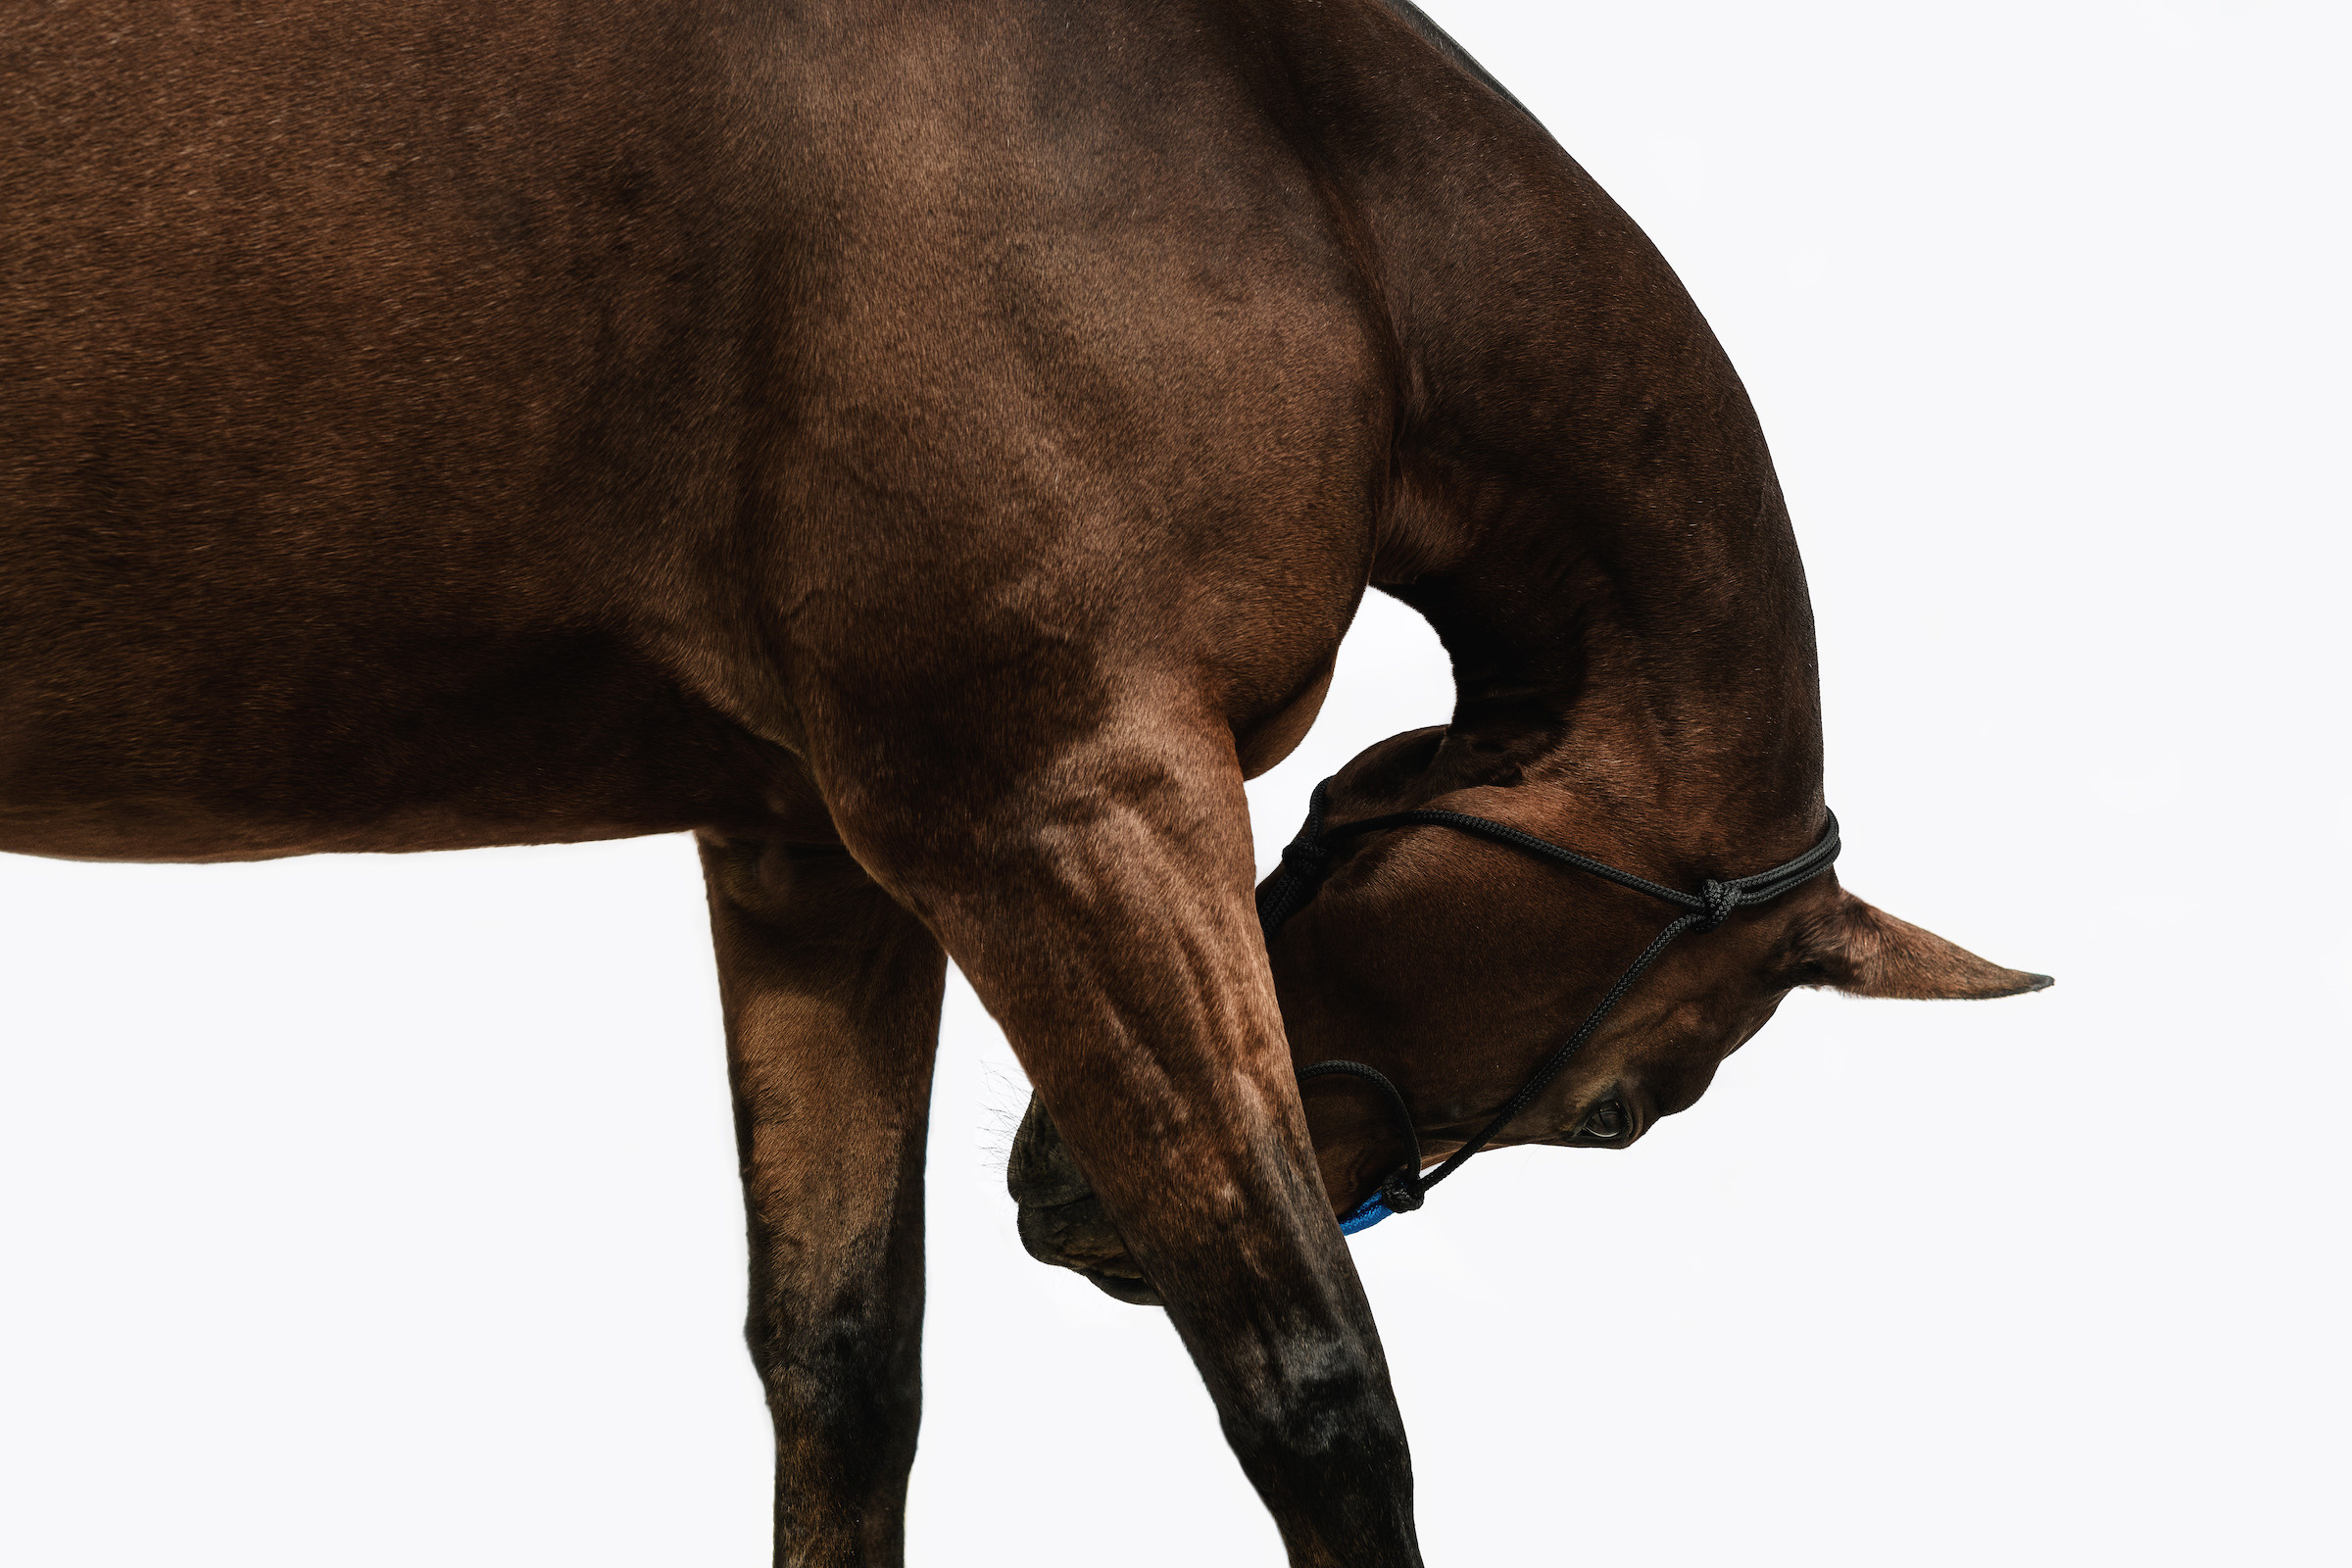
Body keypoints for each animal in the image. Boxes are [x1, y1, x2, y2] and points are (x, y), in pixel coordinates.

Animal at [0, 2, 2047, 1562]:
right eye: (1620, 1110)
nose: (1067, 1200)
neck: (1286, 167)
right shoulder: (1057, 809)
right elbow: (1317, 1397)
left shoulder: (813, 852)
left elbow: (840, 1367)